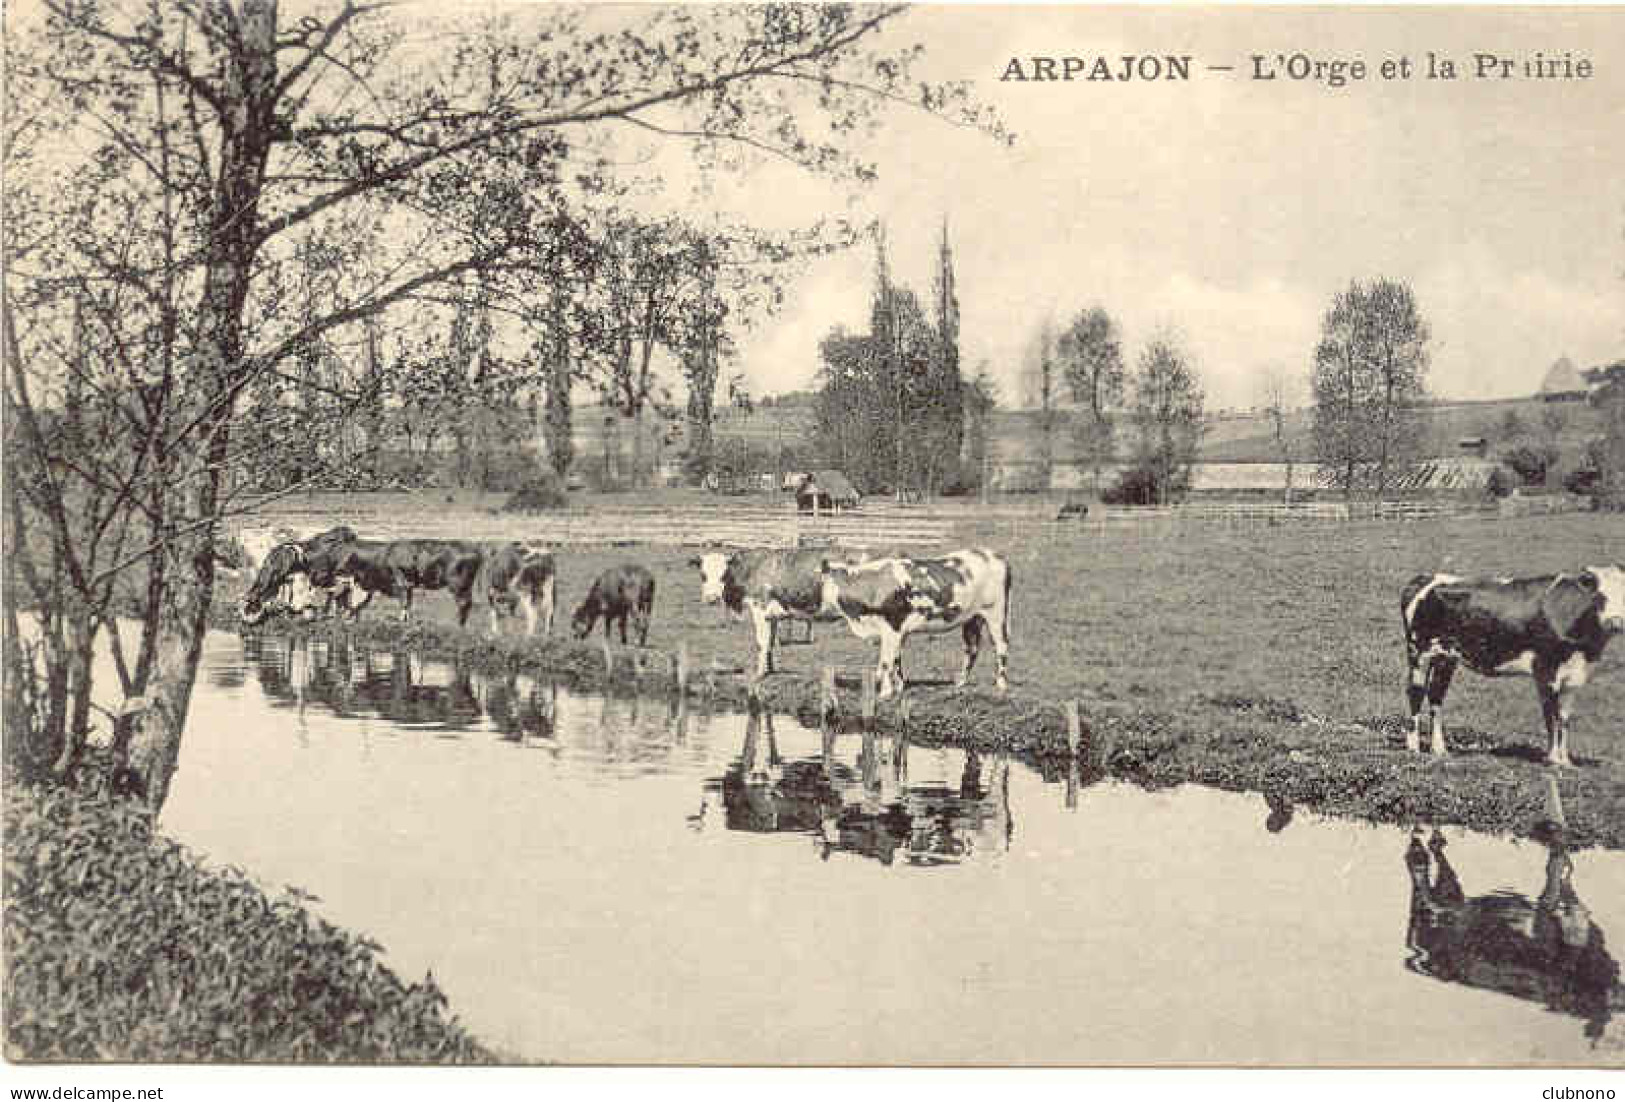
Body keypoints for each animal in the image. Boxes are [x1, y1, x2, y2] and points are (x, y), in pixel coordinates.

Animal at [819, 549, 1007, 702]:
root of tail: (994, 555)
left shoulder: (892, 628)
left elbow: (886, 662)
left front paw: (885, 693)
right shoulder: (897, 632)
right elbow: (896, 659)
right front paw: (899, 687)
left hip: (996, 615)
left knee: (1001, 647)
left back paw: (1002, 684)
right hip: (972, 618)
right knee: (971, 648)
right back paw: (960, 682)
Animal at [1397, 568, 1625, 767]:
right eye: (1600, 597)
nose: (1616, 622)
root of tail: (1426, 577)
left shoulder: (1573, 677)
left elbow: (1564, 719)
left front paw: (1566, 762)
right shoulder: (1546, 671)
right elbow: (1551, 717)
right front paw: (1552, 760)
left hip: (1445, 657)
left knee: (1436, 696)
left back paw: (1439, 749)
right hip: (1418, 652)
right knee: (1416, 694)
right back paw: (1414, 748)